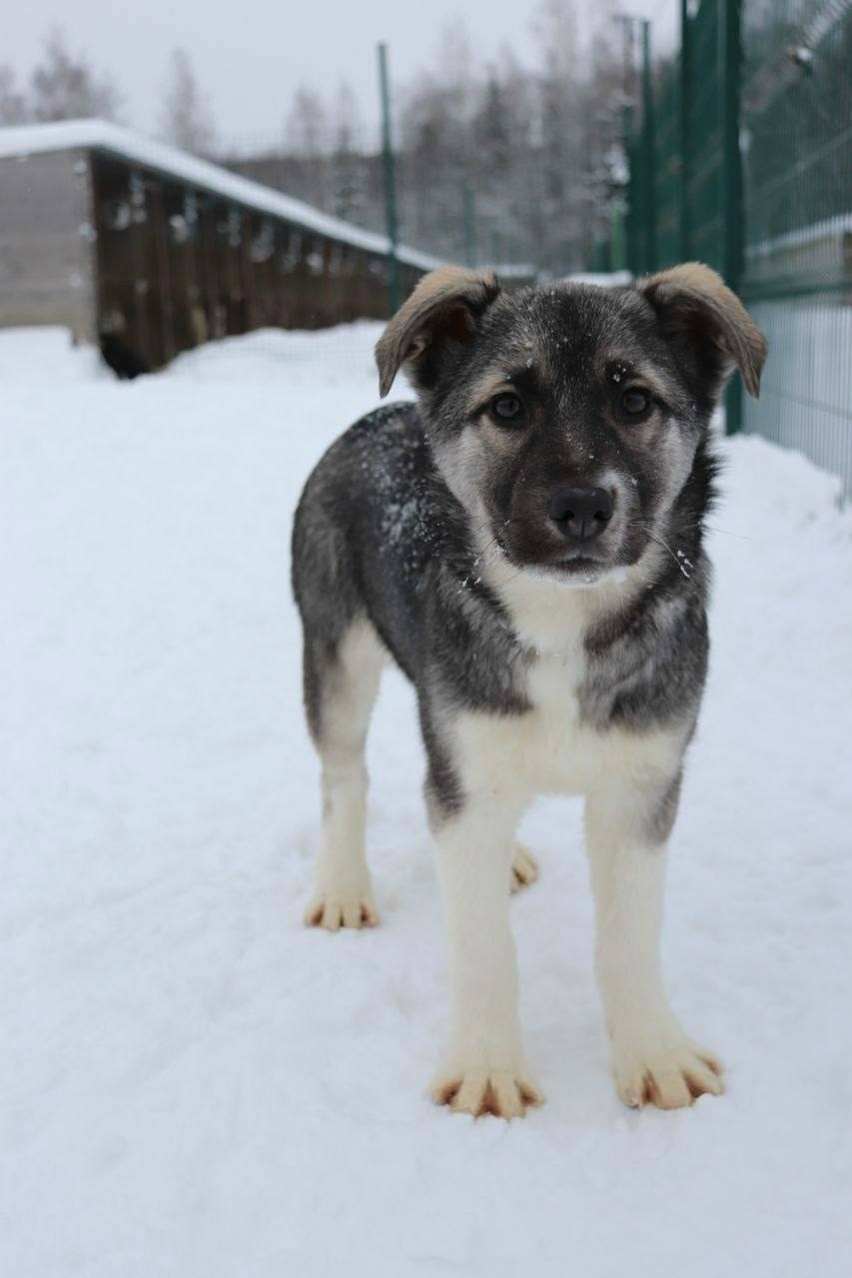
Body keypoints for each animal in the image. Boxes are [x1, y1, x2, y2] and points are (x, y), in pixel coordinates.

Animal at [291, 263, 767, 1118]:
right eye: (507, 406)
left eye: (634, 400)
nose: (582, 506)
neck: (562, 624)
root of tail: (378, 415)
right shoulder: (464, 772)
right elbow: (482, 946)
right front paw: (488, 1070)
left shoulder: (642, 785)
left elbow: (630, 937)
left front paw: (654, 1053)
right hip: (335, 649)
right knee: (343, 776)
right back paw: (342, 886)